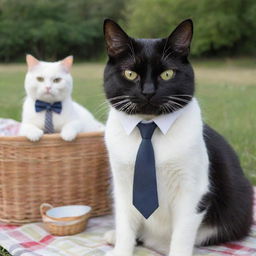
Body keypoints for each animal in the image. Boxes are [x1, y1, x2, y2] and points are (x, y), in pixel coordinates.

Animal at [102, 19, 254, 256]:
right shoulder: (122, 185)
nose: (148, 92)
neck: (149, 128)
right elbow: (126, 224)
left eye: (167, 74)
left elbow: (182, 234)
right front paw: (121, 249)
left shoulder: (192, 191)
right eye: (130, 74)